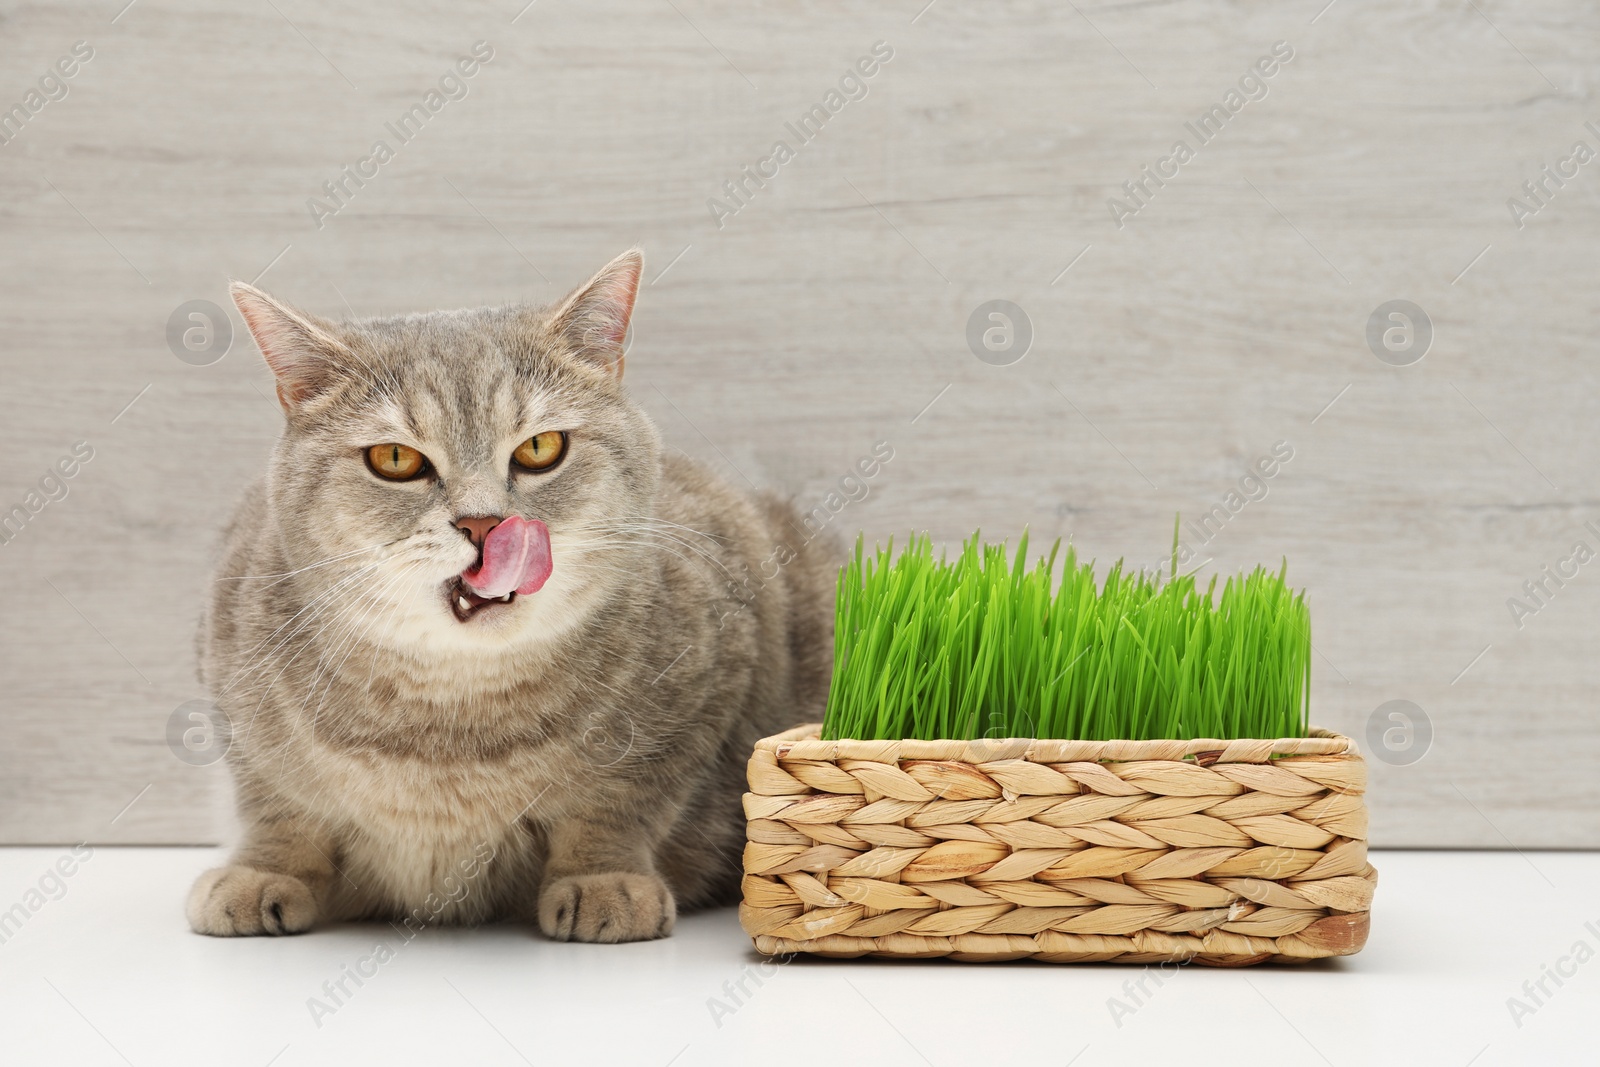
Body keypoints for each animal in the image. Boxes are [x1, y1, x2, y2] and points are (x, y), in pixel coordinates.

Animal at [188, 247, 838, 940]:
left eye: (539, 448)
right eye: (395, 458)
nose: (483, 525)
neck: (451, 711)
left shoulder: (707, 681)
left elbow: (615, 804)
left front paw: (602, 880)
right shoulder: (235, 698)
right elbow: (278, 808)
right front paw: (262, 871)